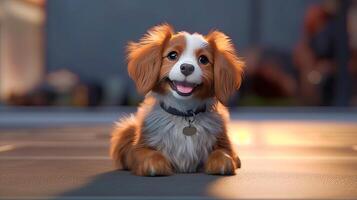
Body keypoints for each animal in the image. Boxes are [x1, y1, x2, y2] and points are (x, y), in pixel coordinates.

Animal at [111, 23, 243, 177]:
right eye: (172, 55)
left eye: (203, 59)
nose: (187, 67)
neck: (183, 113)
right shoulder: (140, 146)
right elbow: (147, 154)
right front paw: (155, 164)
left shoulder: (222, 140)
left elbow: (222, 152)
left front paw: (223, 160)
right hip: (127, 128)